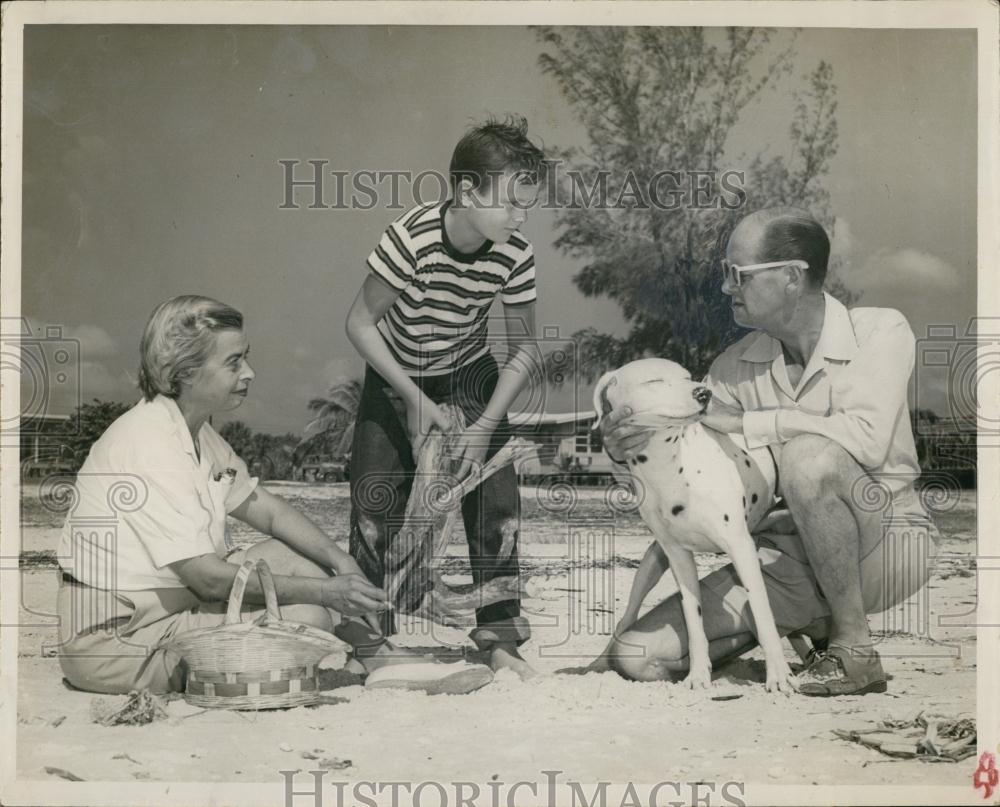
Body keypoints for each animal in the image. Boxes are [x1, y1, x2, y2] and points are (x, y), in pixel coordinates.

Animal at [592, 360, 796, 696]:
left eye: (688, 377)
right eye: (654, 380)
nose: (704, 393)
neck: (670, 469)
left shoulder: (742, 551)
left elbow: (763, 614)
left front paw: (778, 674)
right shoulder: (679, 559)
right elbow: (693, 621)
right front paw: (699, 674)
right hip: (650, 565)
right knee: (626, 619)